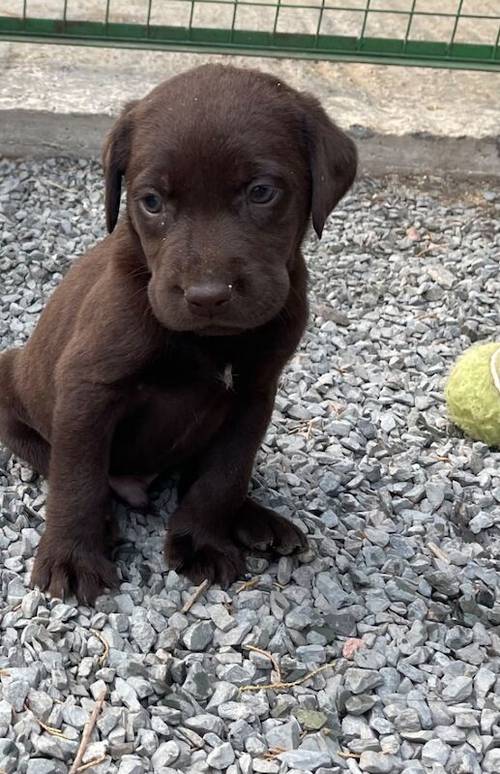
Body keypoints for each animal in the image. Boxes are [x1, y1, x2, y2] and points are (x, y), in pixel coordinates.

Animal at [0, 65, 356, 608]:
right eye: (151, 202)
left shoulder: (255, 394)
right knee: (59, 460)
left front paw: (202, 540)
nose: (206, 296)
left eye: (261, 192)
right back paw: (105, 521)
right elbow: (77, 477)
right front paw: (72, 557)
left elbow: (224, 475)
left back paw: (257, 520)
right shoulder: (88, 387)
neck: (206, 340)